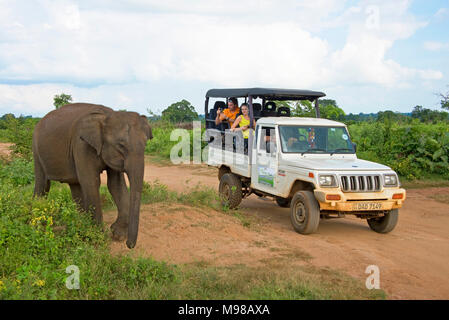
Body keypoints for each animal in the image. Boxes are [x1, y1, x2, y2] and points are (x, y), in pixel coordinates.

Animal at [32, 104, 153, 249]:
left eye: (146, 144)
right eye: (121, 145)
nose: (129, 245)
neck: (107, 115)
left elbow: (115, 185)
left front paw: (117, 235)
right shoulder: (81, 145)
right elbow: (91, 183)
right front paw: (97, 238)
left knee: (74, 185)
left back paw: (79, 223)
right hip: (36, 150)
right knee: (43, 183)